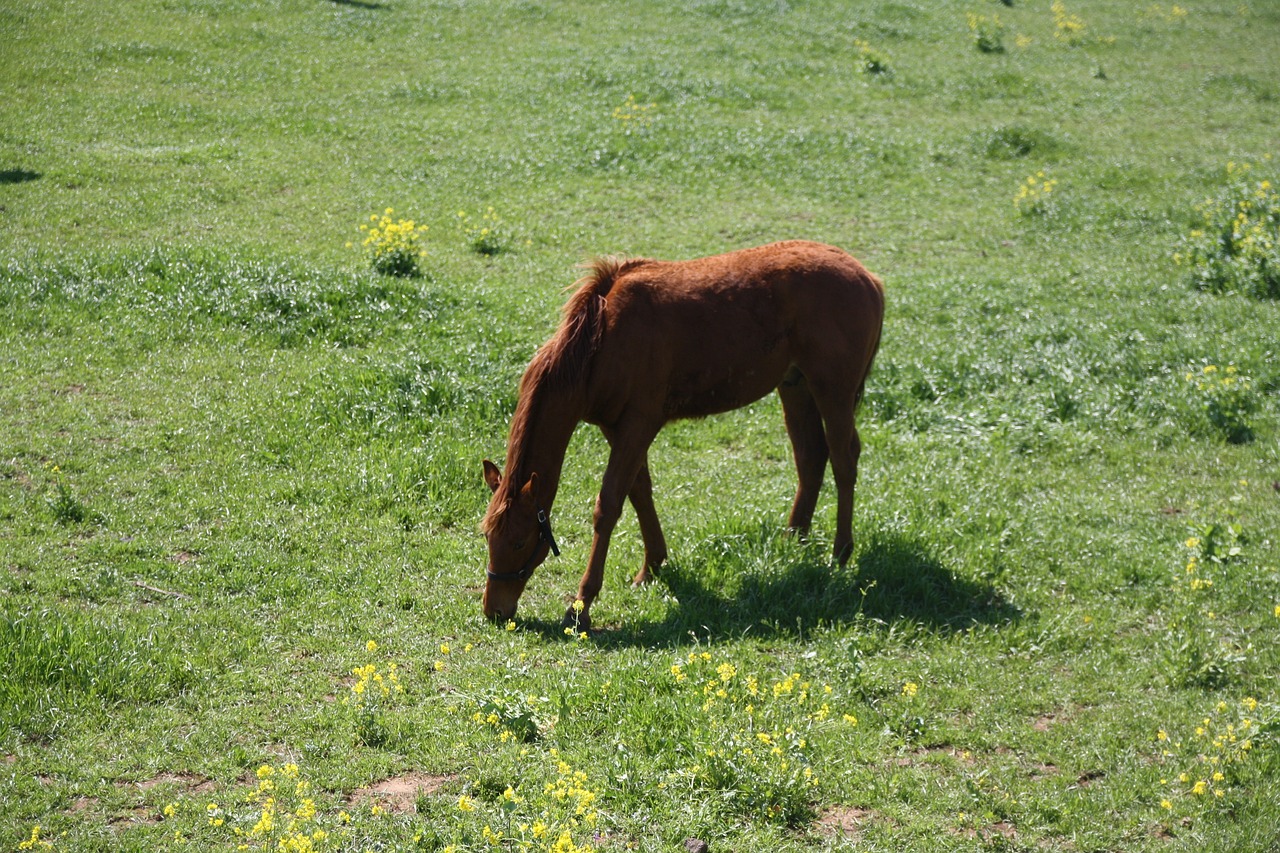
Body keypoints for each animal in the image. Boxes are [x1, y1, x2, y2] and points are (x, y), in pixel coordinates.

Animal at [478, 239, 880, 625]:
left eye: (519, 542)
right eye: (486, 536)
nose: (494, 610)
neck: (603, 337)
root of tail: (868, 277)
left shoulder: (639, 424)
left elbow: (609, 505)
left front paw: (582, 603)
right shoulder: (615, 426)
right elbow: (639, 492)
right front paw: (652, 567)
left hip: (833, 392)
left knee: (843, 461)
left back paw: (840, 554)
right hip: (796, 387)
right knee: (811, 458)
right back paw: (794, 540)